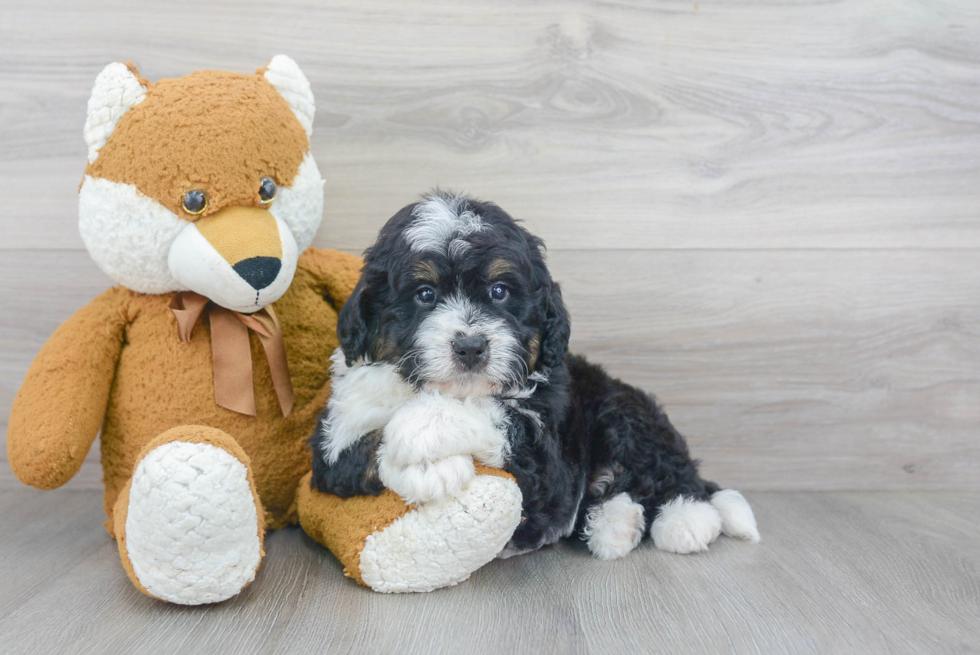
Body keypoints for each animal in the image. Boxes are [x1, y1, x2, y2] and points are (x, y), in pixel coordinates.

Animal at [308, 192, 756, 560]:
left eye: (500, 291)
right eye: (425, 294)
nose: (471, 347)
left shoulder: (548, 464)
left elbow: (495, 416)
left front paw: (421, 431)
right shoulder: (333, 439)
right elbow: (353, 451)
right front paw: (429, 469)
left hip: (620, 411)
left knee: (673, 473)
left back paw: (685, 521)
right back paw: (615, 526)